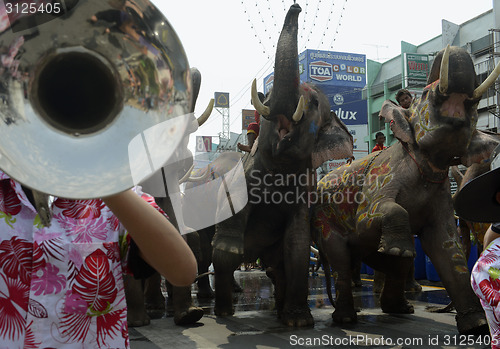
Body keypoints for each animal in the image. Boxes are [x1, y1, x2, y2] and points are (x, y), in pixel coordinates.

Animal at [210, 2, 352, 328]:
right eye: (271, 92)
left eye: (315, 104)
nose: (297, 6)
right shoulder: (247, 172)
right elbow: (232, 219)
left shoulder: (303, 191)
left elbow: (297, 242)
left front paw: (299, 322)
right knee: (222, 261)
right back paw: (223, 312)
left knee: (276, 267)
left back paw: (278, 311)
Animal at [310, 44, 498, 334]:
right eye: (426, 95)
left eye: (476, 106)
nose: (451, 49)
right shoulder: (379, 181)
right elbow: (369, 218)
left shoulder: (441, 196)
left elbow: (445, 245)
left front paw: (476, 326)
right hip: (323, 220)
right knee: (341, 257)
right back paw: (346, 318)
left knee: (395, 260)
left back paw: (398, 307)